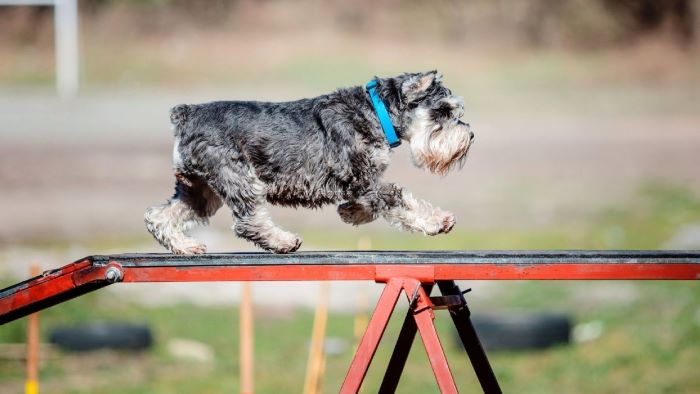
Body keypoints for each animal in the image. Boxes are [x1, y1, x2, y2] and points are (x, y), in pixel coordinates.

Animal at [146, 70, 476, 255]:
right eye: (443, 110)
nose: (470, 135)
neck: (375, 111)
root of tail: (187, 114)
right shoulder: (363, 179)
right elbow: (399, 198)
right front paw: (437, 221)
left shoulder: (363, 183)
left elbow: (373, 204)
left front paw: (350, 213)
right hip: (239, 179)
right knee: (247, 222)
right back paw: (282, 241)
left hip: (200, 190)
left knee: (158, 216)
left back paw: (185, 246)